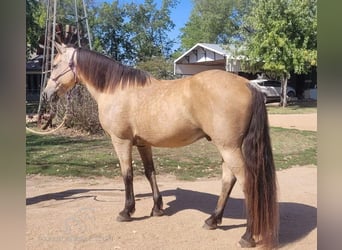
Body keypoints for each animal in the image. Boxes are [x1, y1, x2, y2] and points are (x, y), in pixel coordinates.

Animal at [41, 44, 280, 249]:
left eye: (55, 64)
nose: (46, 94)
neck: (116, 89)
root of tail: (248, 85)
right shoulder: (143, 143)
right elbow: (150, 173)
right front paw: (157, 208)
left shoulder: (121, 141)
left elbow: (127, 175)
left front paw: (126, 211)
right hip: (227, 148)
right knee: (228, 180)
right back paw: (212, 220)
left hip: (229, 148)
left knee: (246, 182)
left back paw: (247, 236)